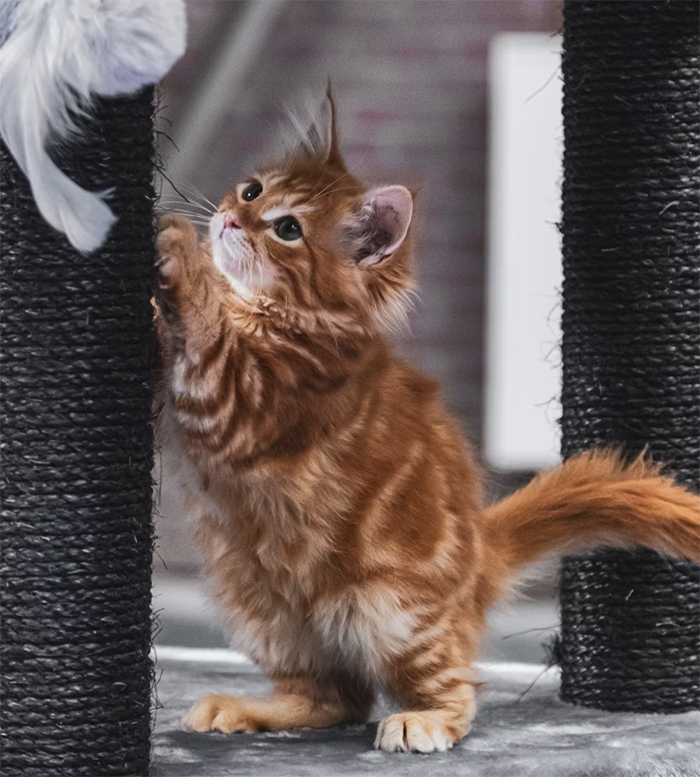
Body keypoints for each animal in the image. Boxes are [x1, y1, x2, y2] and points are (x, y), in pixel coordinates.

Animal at [157, 95, 700, 752]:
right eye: (252, 190)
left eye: (288, 229)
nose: (232, 220)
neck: (274, 316)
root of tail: (483, 550)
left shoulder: (244, 397)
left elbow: (206, 328)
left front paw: (176, 249)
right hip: (262, 609)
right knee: (336, 699)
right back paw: (245, 708)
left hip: (391, 609)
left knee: (450, 689)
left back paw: (424, 721)